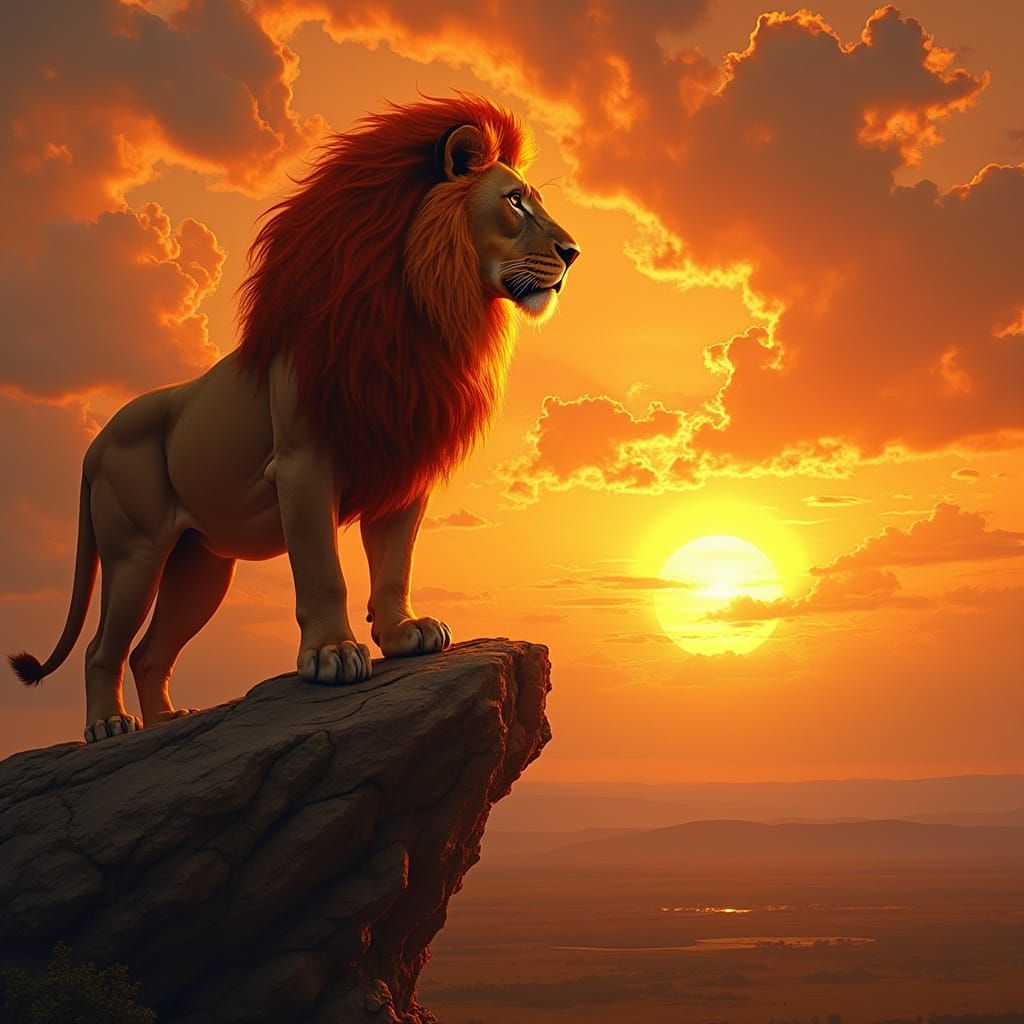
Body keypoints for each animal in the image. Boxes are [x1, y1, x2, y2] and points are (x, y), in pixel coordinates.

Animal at [8, 93, 579, 743]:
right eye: (514, 202)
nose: (573, 253)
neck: (420, 314)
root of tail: (94, 443)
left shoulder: (402, 463)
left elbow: (395, 562)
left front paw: (404, 634)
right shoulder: (304, 464)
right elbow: (323, 568)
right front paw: (332, 655)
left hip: (200, 565)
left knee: (150, 652)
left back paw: (169, 721)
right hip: (136, 552)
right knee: (101, 647)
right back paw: (109, 725)